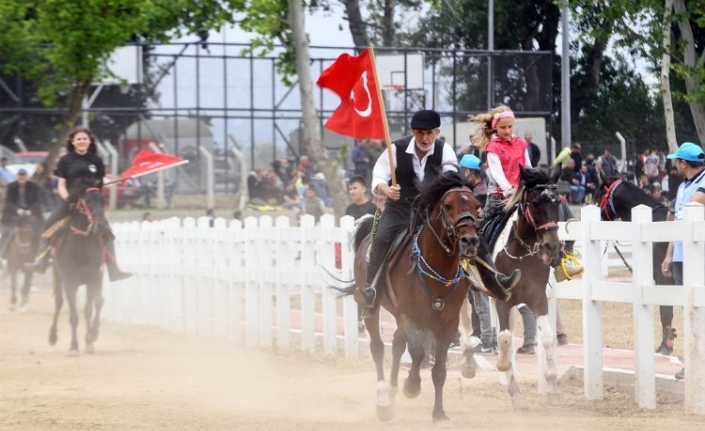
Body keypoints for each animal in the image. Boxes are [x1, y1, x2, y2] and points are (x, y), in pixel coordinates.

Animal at [48, 187, 108, 356]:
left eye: (104, 200)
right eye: (88, 201)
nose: (101, 226)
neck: (80, 247)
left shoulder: (94, 279)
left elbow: (92, 306)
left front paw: (91, 337)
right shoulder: (70, 283)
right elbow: (74, 316)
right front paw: (74, 346)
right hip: (59, 276)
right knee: (59, 302)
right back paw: (52, 336)